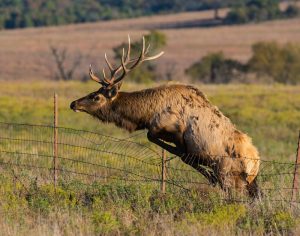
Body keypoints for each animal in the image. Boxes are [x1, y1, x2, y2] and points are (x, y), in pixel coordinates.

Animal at [70, 35, 260, 197]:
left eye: (96, 96)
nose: (73, 103)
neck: (146, 114)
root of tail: (256, 163)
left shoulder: (171, 129)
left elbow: (174, 149)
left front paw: (208, 174)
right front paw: (208, 174)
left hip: (231, 175)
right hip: (250, 181)